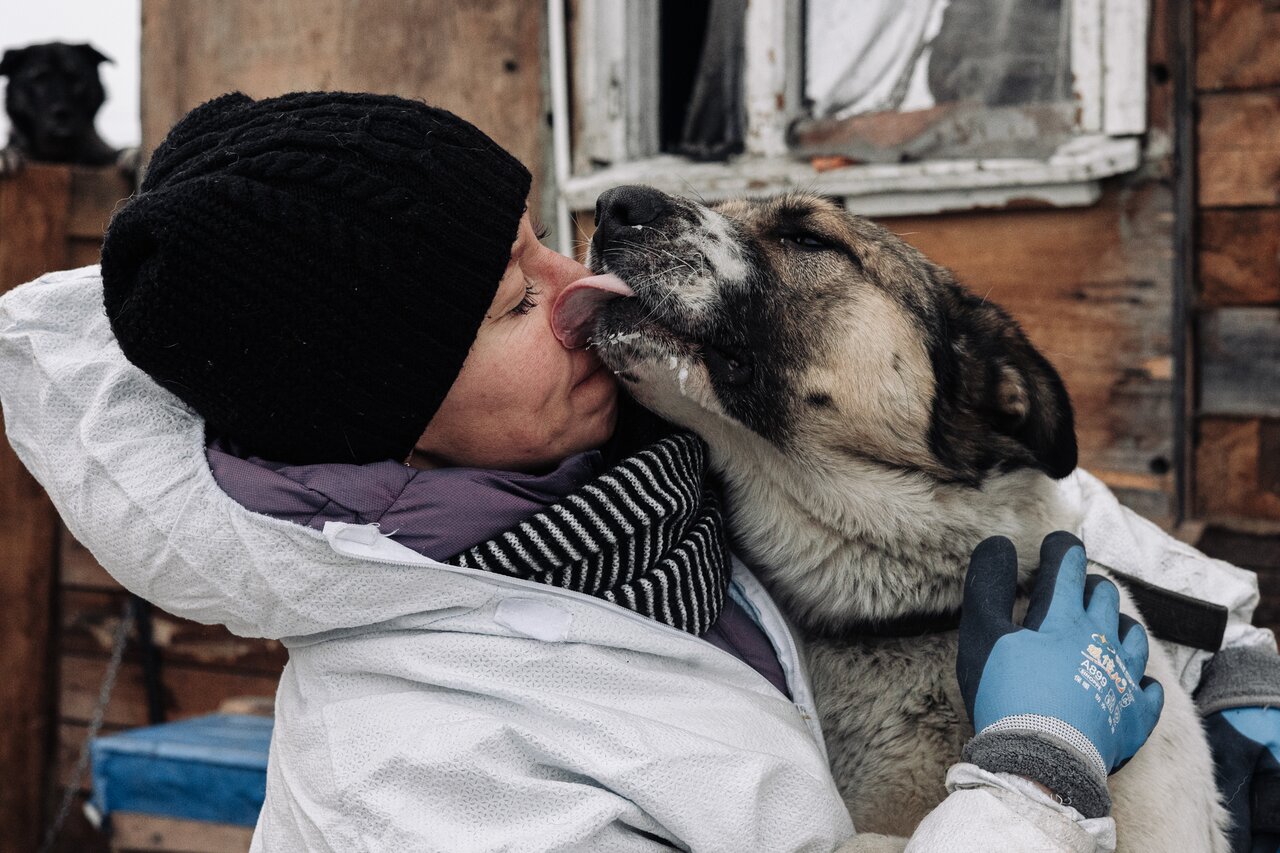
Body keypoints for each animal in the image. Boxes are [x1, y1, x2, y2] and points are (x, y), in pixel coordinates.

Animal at [0, 42, 138, 178]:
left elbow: (114, 155)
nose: (62, 112)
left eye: (74, 78)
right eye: (38, 79)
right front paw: (5, 155)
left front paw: (132, 155)